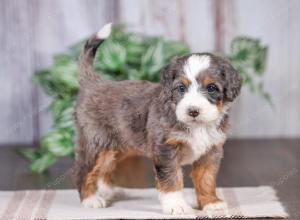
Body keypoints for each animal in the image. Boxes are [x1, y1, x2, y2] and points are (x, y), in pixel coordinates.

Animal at [74, 23, 243, 215]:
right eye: (181, 88)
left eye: (212, 88)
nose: (193, 111)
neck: (197, 126)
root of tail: (95, 84)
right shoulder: (166, 149)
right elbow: (171, 178)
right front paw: (177, 205)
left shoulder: (211, 151)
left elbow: (206, 178)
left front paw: (211, 203)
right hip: (97, 144)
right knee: (84, 170)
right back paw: (91, 199)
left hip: (118, 147)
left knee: (104, 167)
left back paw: (107, 191)